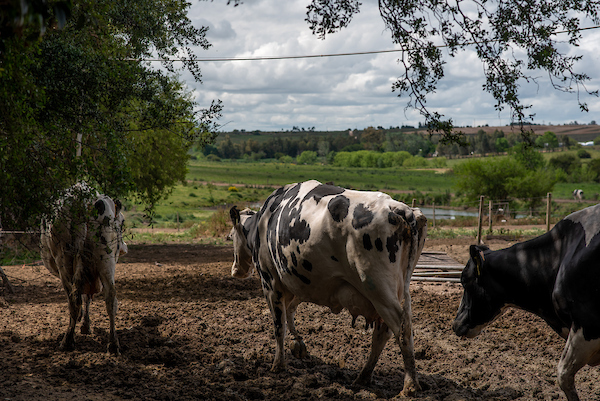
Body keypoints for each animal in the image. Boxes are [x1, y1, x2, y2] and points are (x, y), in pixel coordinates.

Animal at [41, 184, 128, 354]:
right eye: (122, 222)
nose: (124, 249)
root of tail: (86, 199)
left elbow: (82, 298)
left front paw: (83, 324)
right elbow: (87, 297)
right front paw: (85, 324)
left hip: (64, 260)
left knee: (74, 299)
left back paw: (67, 341)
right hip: (106, 259)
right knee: (111, 297)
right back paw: (113, 344)